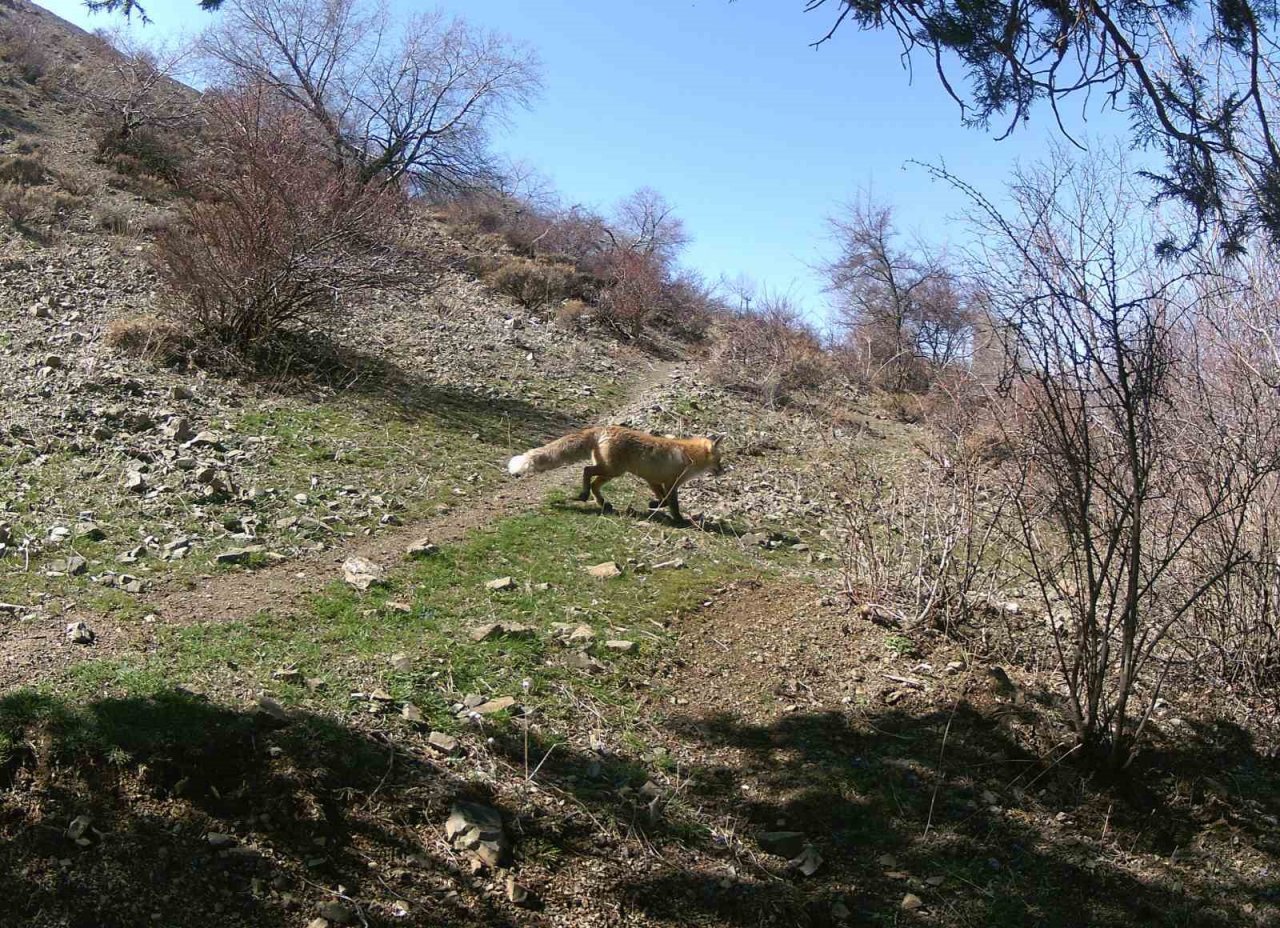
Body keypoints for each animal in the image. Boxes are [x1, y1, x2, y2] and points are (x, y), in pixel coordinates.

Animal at [506, 427, 727, 522]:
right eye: (719, 460)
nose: (723, 471)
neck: (689, 456)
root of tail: (602, 428)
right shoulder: (670, 483)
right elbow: (671, 503)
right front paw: (680, 520)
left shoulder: (654, 480)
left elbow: (662, 500)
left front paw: (653, 505)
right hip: (613, 470)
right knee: (587, 472)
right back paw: (585, 496)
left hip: (611, 472)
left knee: (594, 483)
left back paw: (602, 503)